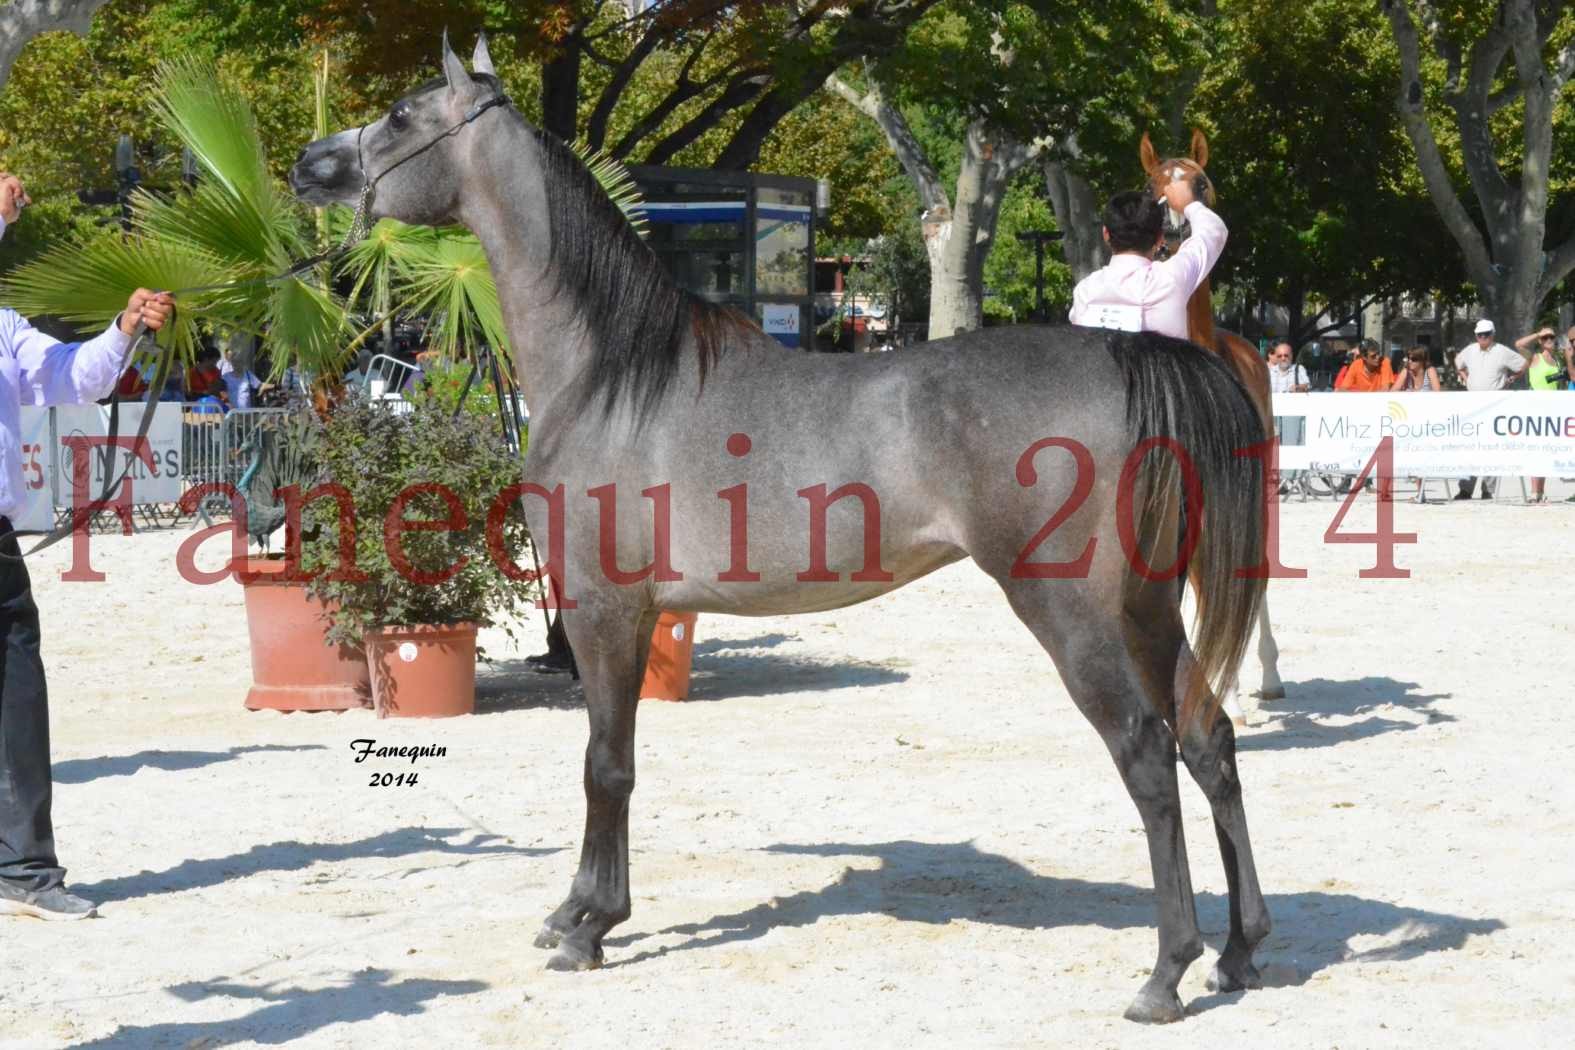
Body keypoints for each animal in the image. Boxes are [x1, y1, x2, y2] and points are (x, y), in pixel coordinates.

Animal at [296, 36, 1272, 1020]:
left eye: (402, 117)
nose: (310, 164)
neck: (614, 374)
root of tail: (1130, 355)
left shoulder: (603, 608)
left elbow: (604, 763)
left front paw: (587, 928)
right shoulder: (633, 613)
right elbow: (612, 758)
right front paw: (577, 910)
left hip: (1072, 613)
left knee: (1146, 752)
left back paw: (1165, 972)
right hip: (1149, 607)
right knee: (1208, 738)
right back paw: (1237, 951)